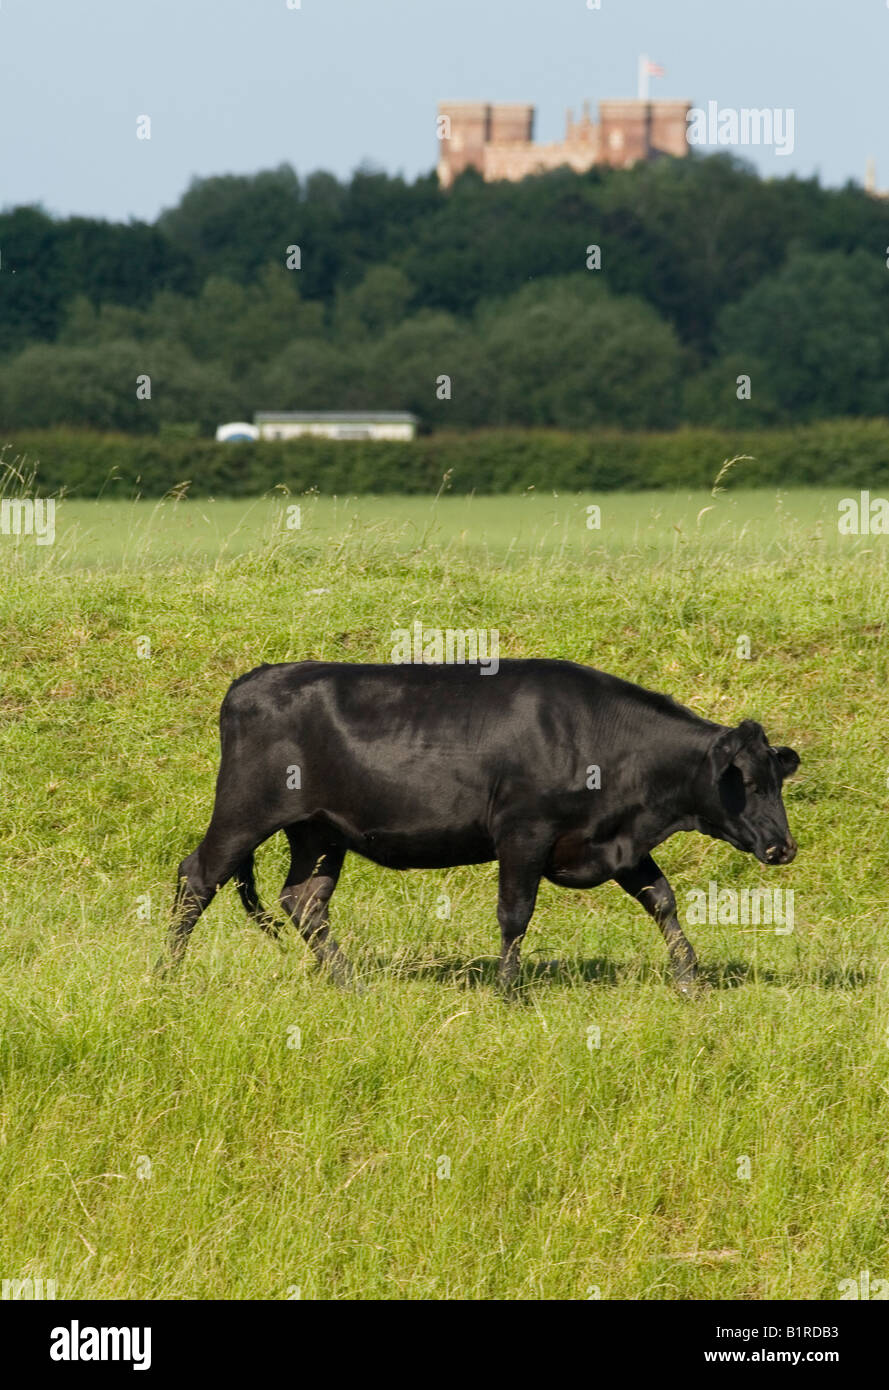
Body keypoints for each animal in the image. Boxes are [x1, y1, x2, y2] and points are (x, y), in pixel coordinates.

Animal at [157, 659, 800, 995]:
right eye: (745, 781)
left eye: (778, 778)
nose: (783, 847)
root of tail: (257, 676)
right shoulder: (524, 831)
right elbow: (515, 913)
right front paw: (508, 992)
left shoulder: (616, 841)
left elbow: (661, 899)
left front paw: (690, 980)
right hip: (245, 811)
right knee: (197, 878)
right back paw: (167, 975)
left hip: (319, 832)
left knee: (305, 900)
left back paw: (350, 982)